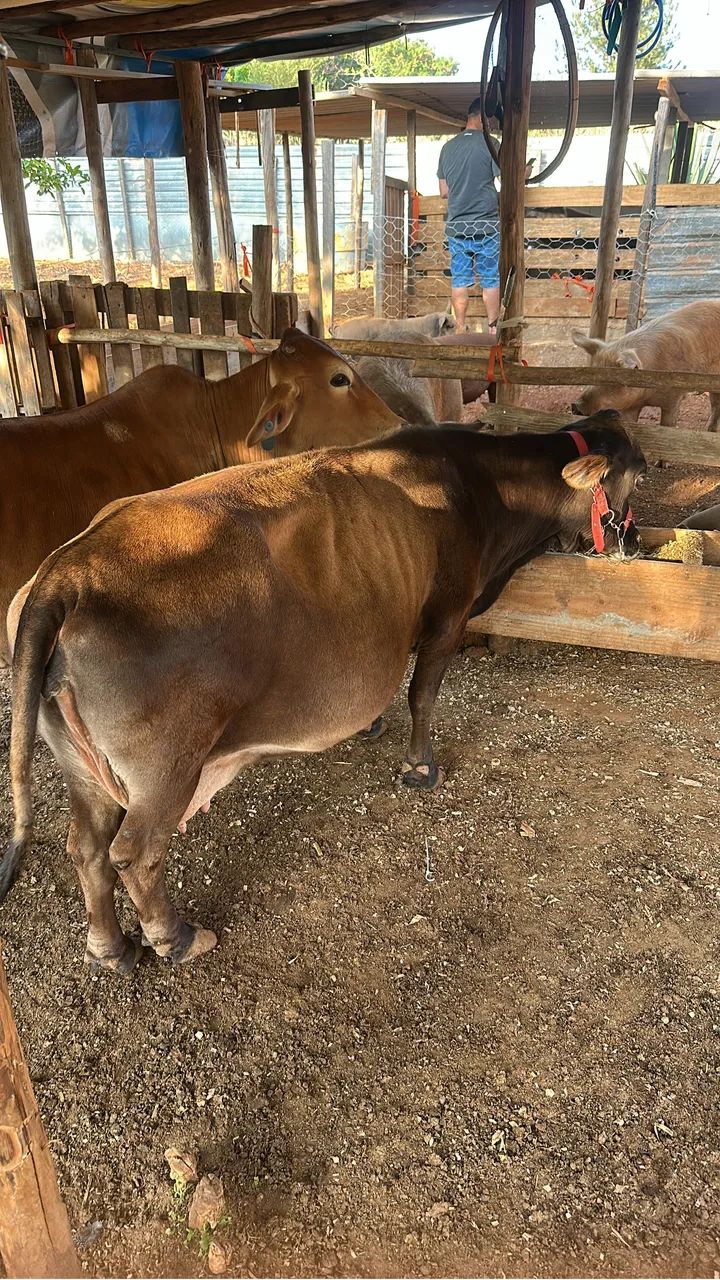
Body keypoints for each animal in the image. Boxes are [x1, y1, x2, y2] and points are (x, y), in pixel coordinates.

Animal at [0, 409, 644, 975]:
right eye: (637, 474)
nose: (633, 540)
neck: (482, 488)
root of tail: (65, 572)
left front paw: (372, 726)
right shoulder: (447, 616)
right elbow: (423, 694)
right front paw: (420, 765)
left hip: (78, 759)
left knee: (85, 848)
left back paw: (110, 950)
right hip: (166, 765)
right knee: (134, 853)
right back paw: (176, 938)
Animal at [571, 300, 720, 429]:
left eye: (611, 380)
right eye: (590, 374)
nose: (576, 406)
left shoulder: (674, 396)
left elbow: (668, 423)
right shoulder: (631, 405)